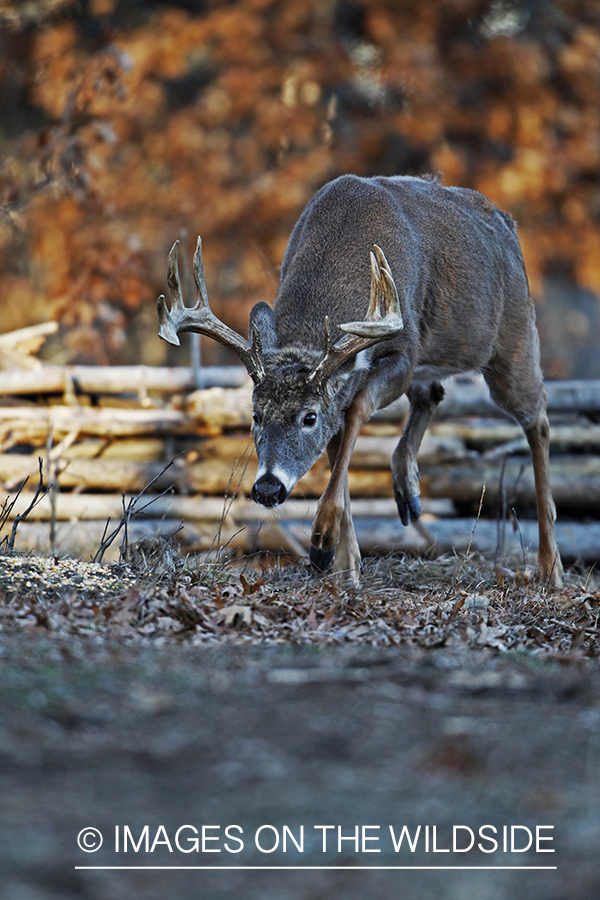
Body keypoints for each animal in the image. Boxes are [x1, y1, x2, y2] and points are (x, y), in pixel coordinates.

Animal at [157, 172, 564, 588]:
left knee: (538, 419)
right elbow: (339, 446)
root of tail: (507, 223)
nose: (268, 487)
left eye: (309, 417)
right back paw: (407, 490)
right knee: (434, 393)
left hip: (513, 341)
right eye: (255, 415)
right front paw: (345, 565)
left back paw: (551, 567)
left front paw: (323, 540)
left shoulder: (404, 350)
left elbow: (354, 415)